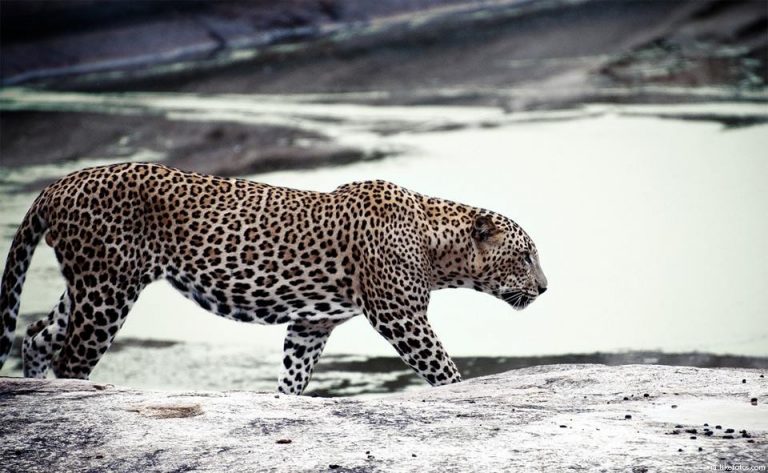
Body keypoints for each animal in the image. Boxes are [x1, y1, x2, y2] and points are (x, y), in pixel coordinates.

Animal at [0, 162, 547, 394]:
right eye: (525, 257)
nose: (545, 288)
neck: (437, 246)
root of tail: (56, 185)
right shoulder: (401, 317)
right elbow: (443, 370)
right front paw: (460, 391)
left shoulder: (311, 325)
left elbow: (293, 376)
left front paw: (284, 403)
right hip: (108, 290)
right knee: (71, 359)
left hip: (90, 284)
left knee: (36, 334)